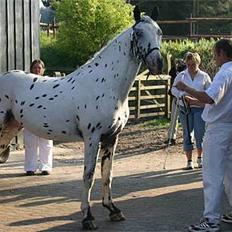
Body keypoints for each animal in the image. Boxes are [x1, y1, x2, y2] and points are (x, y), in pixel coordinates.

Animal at [0, 5, 163, 230]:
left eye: (159, 32)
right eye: (138, 33)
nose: (158, 64)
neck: (107, 85)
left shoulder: (111, 138)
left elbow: (107, 175)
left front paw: (113, 210)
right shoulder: (92, 138)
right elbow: (89, 175)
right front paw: (87, 217)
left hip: (10, 128)